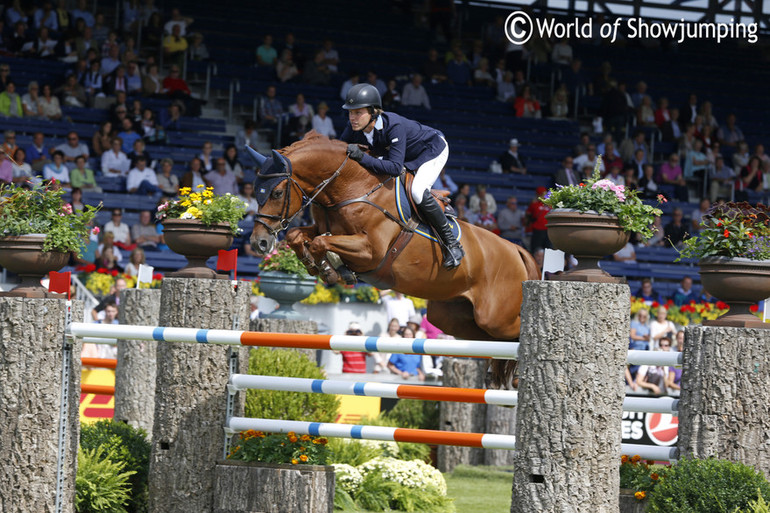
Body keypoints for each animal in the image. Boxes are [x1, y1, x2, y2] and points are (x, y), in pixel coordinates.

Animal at [249, 134, 536, 382]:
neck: (353, 188)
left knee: (514, 332)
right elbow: (297, 235)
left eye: (276, 193)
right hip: (452, 317)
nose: (258, 242)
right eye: (255, 191)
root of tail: (516, 250)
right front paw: (321, 267)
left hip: (495, 317)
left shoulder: (371, 251)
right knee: (492, 340)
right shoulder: (323, 228)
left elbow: (321, 242)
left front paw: (332, 269)